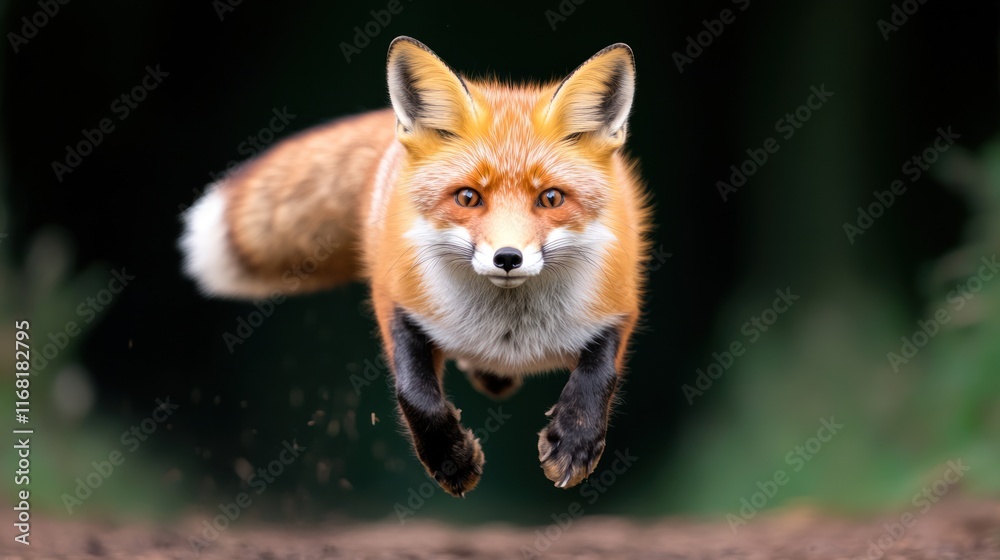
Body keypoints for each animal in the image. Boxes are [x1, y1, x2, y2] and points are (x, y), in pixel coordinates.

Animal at [180, 36, 652, 497]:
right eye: (467, 197)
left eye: (551, 198)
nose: (507, 258)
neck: (509, 332)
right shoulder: (399, 302)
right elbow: (414, 393)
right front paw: (452, 460)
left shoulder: (618, 302)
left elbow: (600, 374)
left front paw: (574, 443)